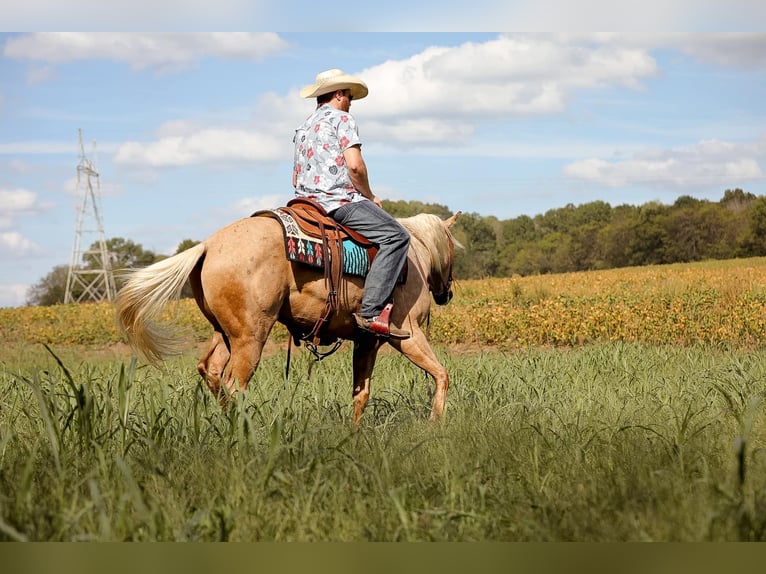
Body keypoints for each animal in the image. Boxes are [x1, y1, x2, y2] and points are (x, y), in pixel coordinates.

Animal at [115, 210, 462, 424]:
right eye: (452, 248)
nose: (446, 294)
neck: (413, 257)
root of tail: (208, 246)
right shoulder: (407, 334)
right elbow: (442, 374)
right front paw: (435, 422)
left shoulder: (366, 342)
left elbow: (360, 394)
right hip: (251, 337)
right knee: (234, 384)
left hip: (224, 334)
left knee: (210, 370)